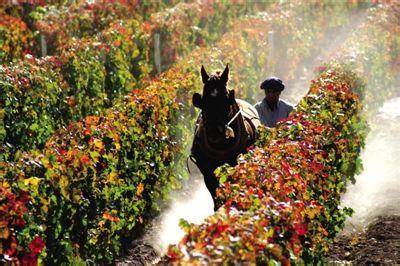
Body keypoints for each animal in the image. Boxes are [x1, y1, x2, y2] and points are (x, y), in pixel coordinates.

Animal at [191, 64, 262, 210]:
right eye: (203, 100)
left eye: (225, 98)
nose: (213, 132)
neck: (221, 146)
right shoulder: (207, 171)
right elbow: (215, 191)